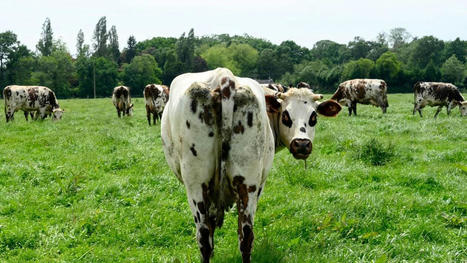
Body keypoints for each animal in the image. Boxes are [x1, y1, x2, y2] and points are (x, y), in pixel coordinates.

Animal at [163, 67, 342, 262]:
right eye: (286, 116)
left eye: (313, 116)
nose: (302, 144)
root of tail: (224, 78)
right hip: (239, 183)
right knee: (238, 235)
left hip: (203, 185)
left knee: (212, 236)